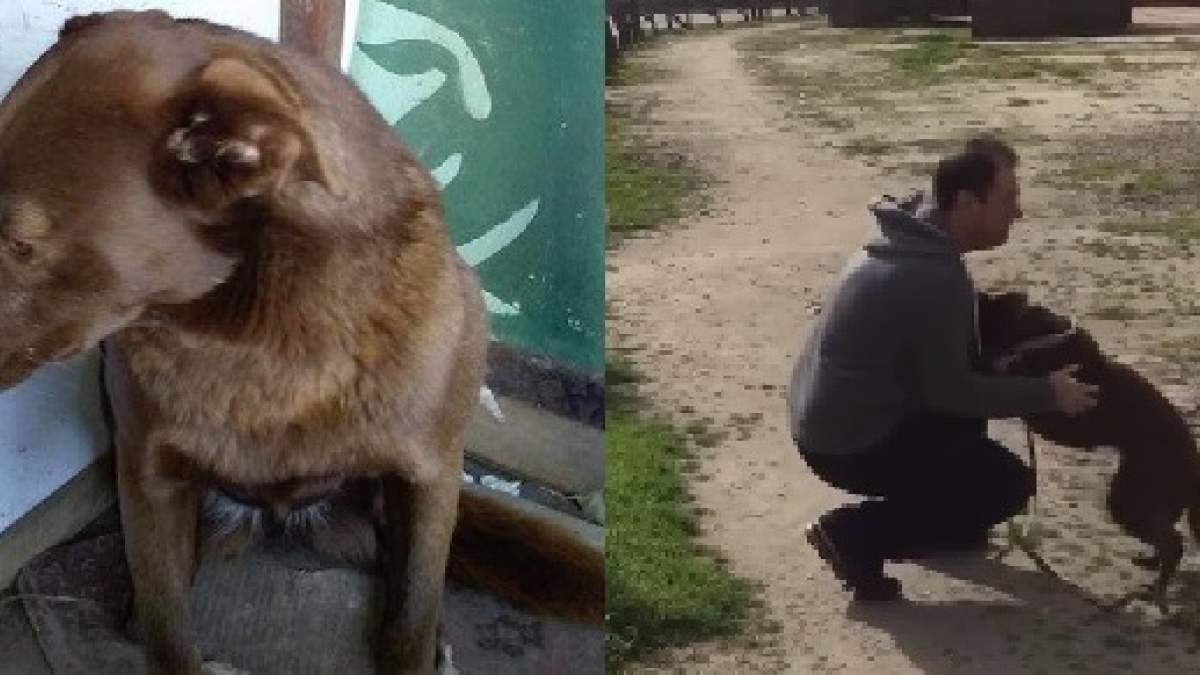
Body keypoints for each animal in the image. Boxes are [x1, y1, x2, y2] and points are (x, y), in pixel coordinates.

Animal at [0, 11, 604, 672]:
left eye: (21, 244)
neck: (257, 338)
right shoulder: (148, 476)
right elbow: (168, 630)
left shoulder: (430, 477)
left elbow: (412, 613)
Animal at [974, 289, 1200, 614]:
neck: (1036, 335)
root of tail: (1193, 465)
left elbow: (996, 370)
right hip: (1151, 500)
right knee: (1168, 538)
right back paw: (1151, 567)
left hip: (1129, 498)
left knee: (1173, 542)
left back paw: (1156, 592)